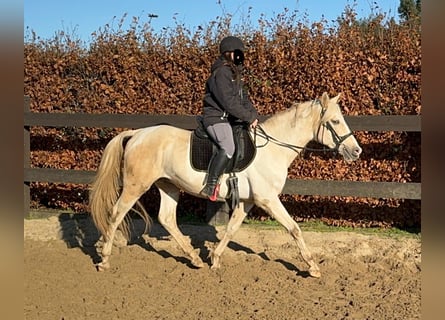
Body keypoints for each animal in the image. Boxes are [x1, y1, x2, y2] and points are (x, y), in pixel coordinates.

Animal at [89, 92, 360, 278]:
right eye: (335, 121)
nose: (356, 151)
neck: (273, 148)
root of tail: (137, 134)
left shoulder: (247, 201)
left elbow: (231, 229)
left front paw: (215, 258)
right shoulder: (268, 199)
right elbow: (294, 228)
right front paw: (313, 267)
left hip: (169, 186)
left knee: (166, 218)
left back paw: (195, 259)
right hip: (136, 185)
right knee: (116, 213)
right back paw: (104, 259)